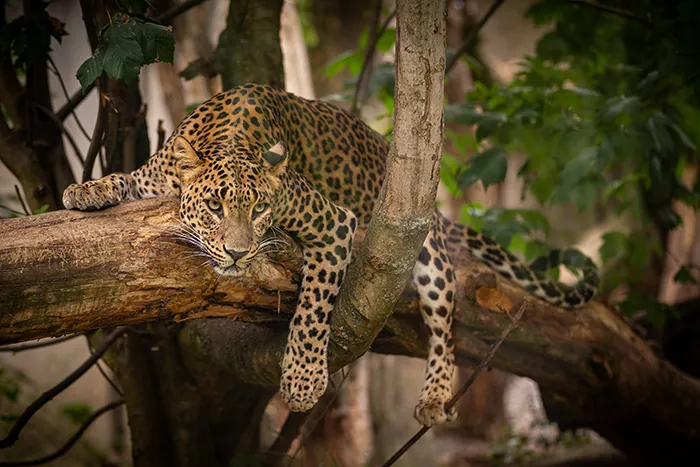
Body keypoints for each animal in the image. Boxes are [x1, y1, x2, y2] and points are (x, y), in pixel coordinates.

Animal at [63, 84, 598, 427]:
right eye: (215, 206)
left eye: (260, 209)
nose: (237, 253)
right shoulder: (154, 178)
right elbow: (125, 179)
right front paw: (85, 189)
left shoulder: (333, 223)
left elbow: (313, 311)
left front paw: (302, 382)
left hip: (424, 251)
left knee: (446, 325)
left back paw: (435, 394)